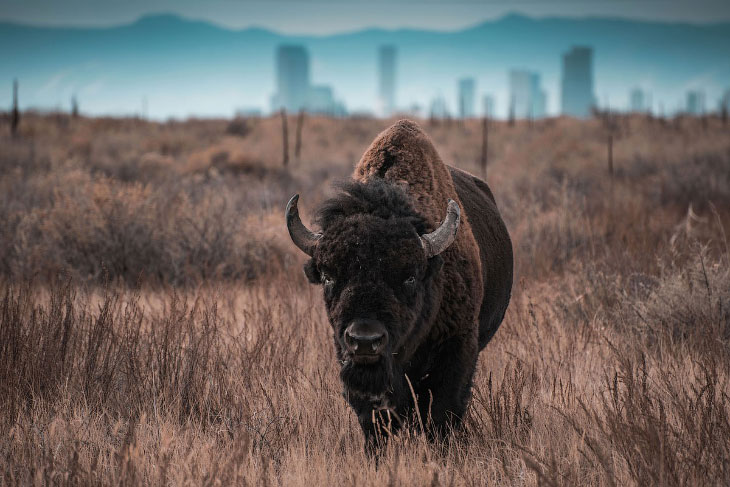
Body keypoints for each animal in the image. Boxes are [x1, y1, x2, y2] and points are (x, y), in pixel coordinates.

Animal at [284, 119, 512, 450]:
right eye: (328, 276)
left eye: (409, 276)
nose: (365, 340)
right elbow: (375, 422)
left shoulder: (457, 351)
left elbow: (441, 415)